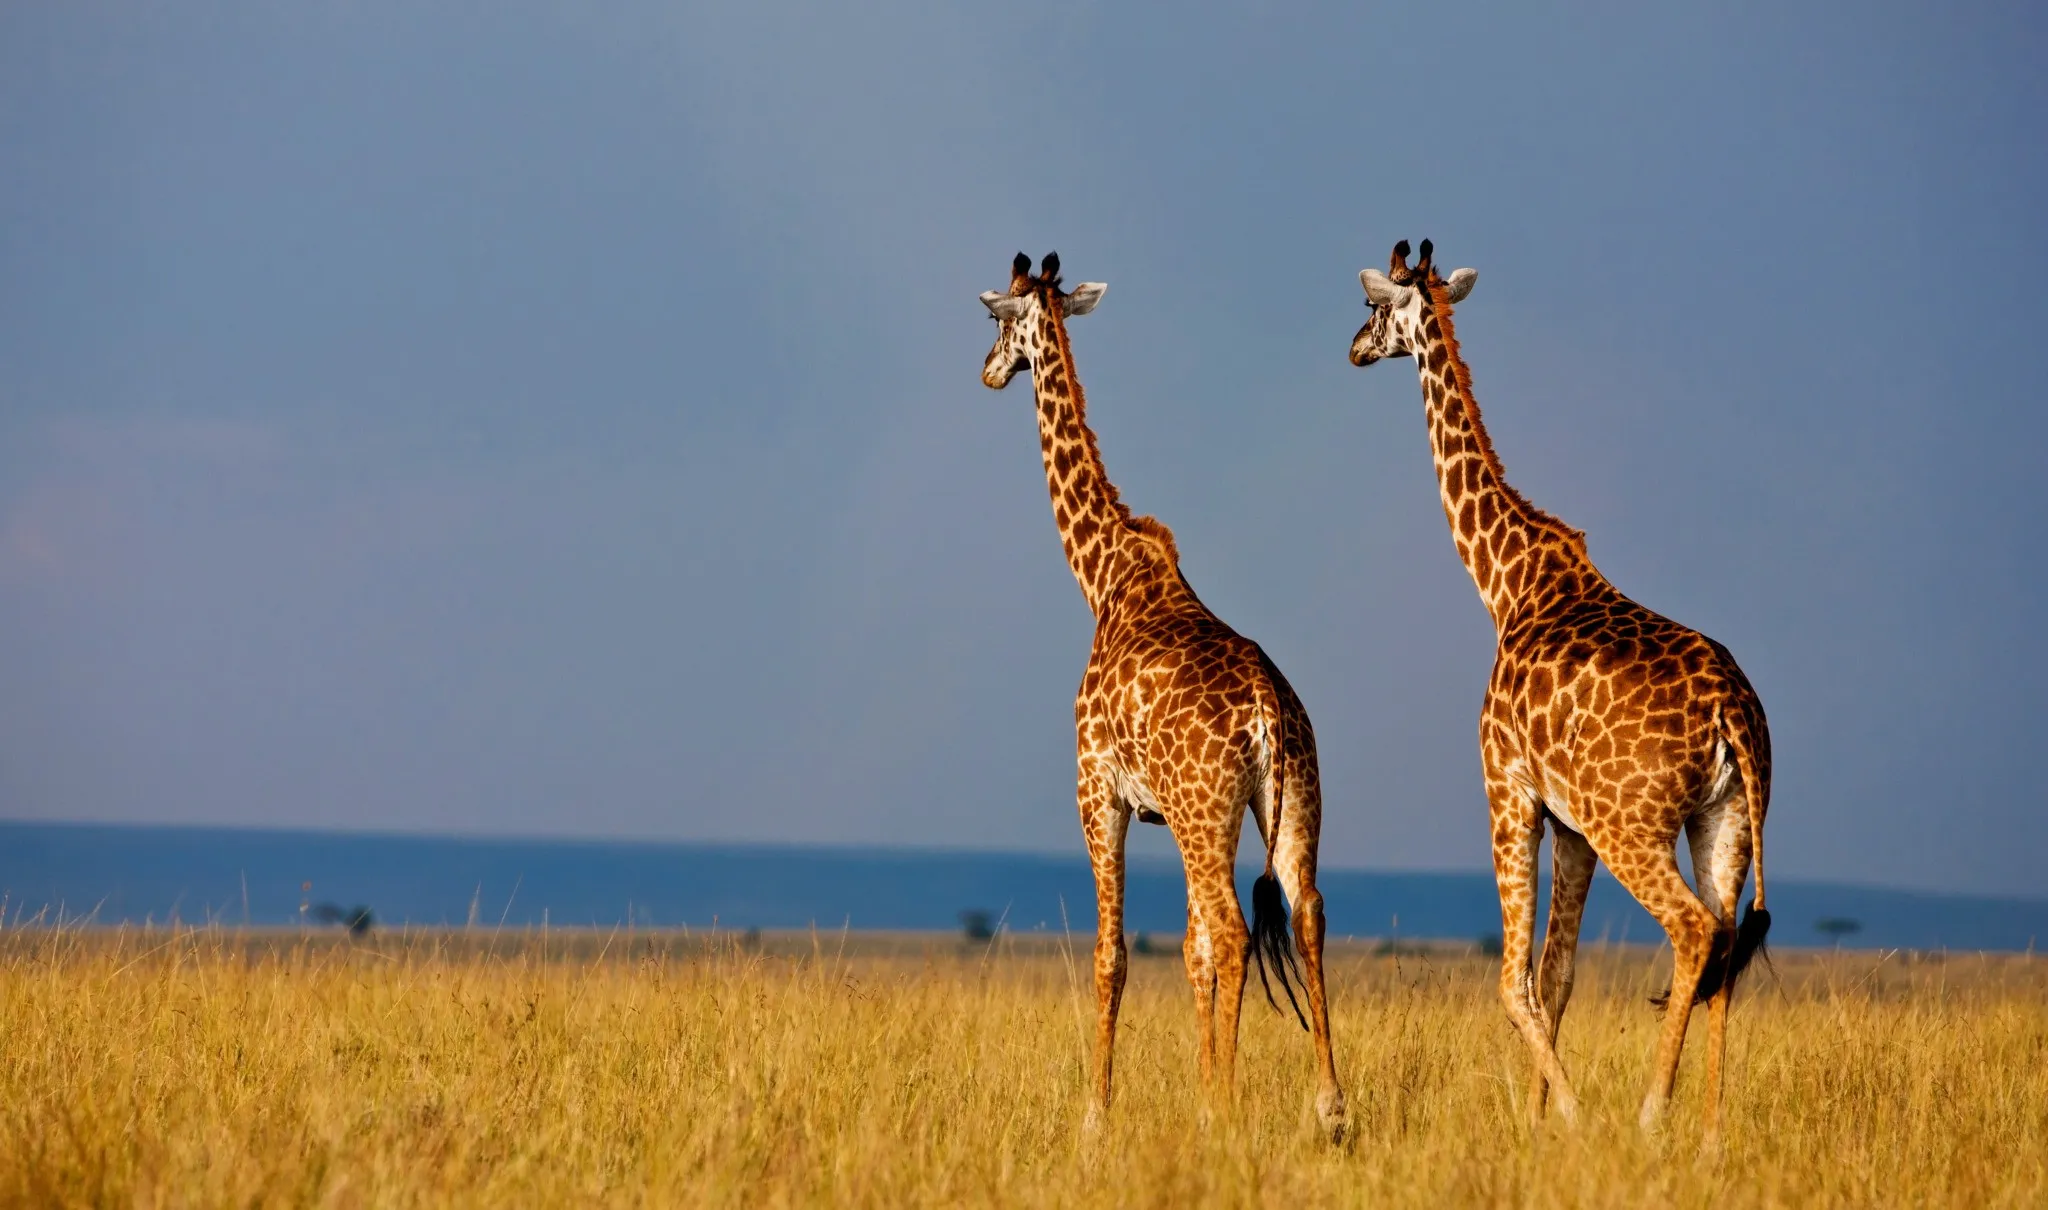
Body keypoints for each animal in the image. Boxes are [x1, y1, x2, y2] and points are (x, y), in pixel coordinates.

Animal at [979, 252, 1346, 1138]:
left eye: (998, 318)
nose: (989, 371)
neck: (1105, 576)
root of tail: (1266, 709)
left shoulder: (1098, 791)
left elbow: (1114, 954)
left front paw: (1098, 1114)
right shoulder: (1166, 813)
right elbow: (1189, 953)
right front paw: (1199, 1089)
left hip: (1206, 807)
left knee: (1236, 928)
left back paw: (1233, 1107)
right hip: (1288, 800)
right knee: (1305, 913)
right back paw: (1329, 1105)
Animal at [1347, 239, 1772, 1141]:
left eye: (1370, 306)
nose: (1355, 349)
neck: (1506, 582)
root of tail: (1733, 714)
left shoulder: (1506, 786)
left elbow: (1514, 983)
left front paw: (1567, 1117)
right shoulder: (1569, 822)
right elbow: (1556, 978)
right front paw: (1541, 1120)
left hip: (1632, 824)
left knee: (1692, 931)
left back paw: (1650, 1115)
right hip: (1726, 822)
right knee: (1726, 943)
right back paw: (1712, 1131)